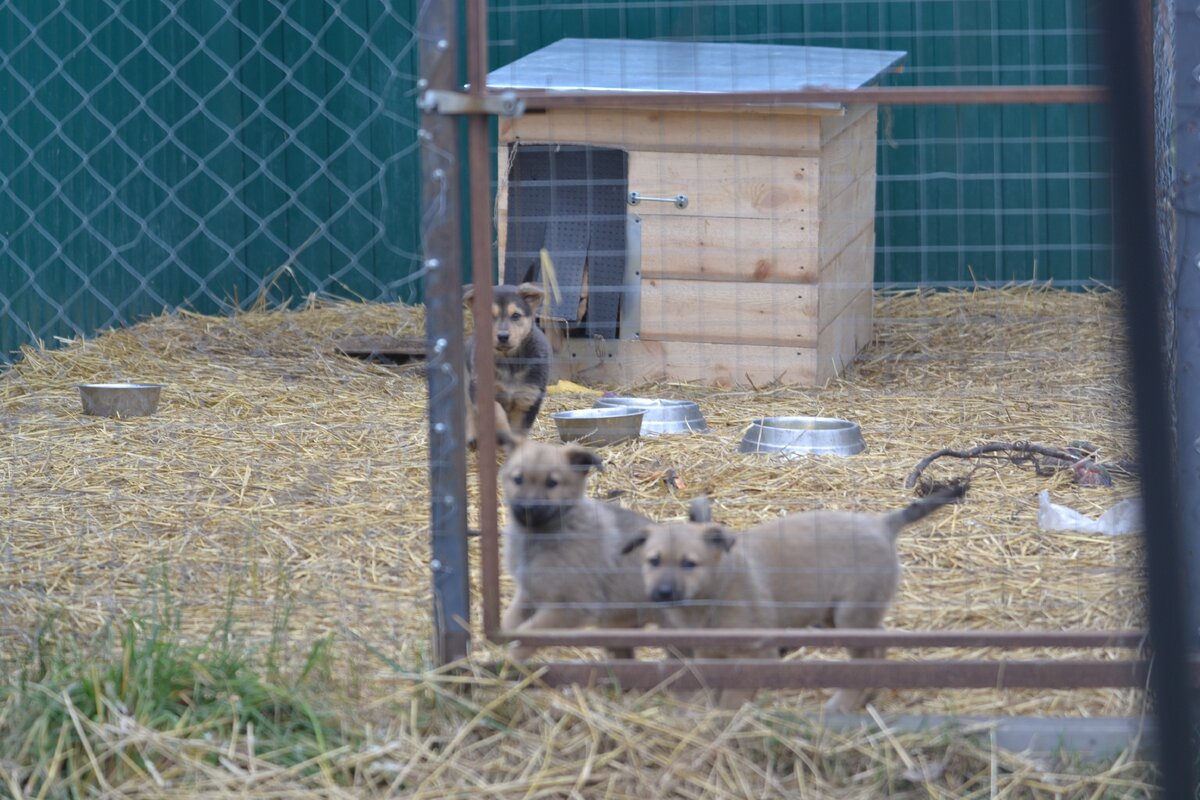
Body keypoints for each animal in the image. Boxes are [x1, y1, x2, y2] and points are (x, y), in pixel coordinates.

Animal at [460, 281, 549, 448]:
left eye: (516, 316)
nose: (502, 336)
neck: (510, 363)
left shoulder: (528, 398)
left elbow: (518, 430)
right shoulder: (482, 389)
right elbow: (497, 412)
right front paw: (501, 433)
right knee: (468, 409)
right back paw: (472, 437)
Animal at [501, 441, 662, 662]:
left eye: (552, 483)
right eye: (518, 479)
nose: (527, 508)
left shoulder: (571, 606)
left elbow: (530, 633)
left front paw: (510, 660)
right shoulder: (529, 592)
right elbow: (511, 620)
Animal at [619, 484, 964, 710]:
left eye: (689, 564)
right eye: (653, 561)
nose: (662, 594)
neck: (712, 595)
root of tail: (882, 523)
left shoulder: (758, 653)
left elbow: (732, 699)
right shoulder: (709, 654)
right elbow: (715, 693)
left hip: (851, 614)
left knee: (867, 655)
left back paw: (842, 704)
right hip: (838, 614)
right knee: (878, 646)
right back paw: (865, 697)